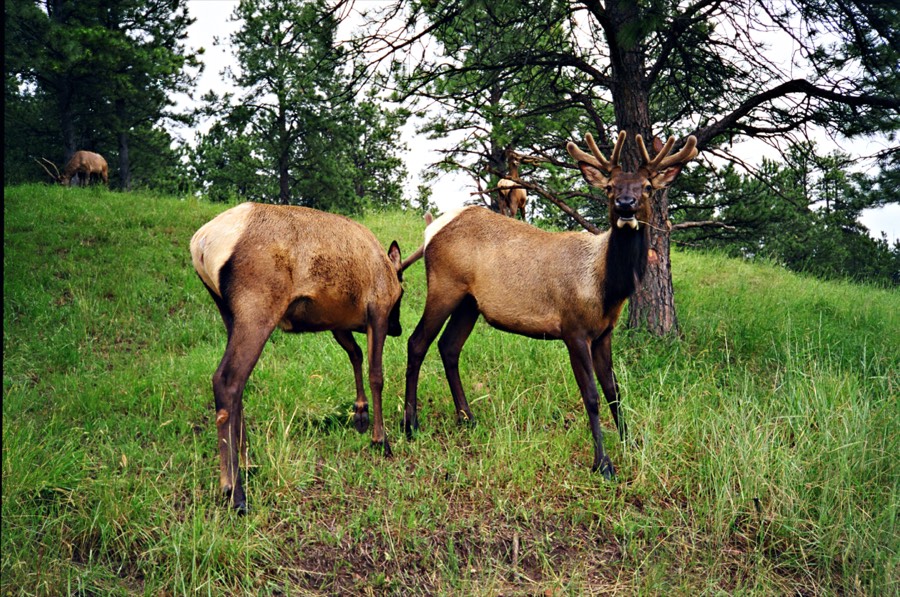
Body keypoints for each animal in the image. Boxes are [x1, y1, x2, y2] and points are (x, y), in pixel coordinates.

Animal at [191, 202, 417, 511]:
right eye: (401, 293)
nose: (398, 328)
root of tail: (201, 243)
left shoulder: (336, 321)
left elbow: (355, 355)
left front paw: (360, 413)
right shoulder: (377, 309)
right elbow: (376, 375)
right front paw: (380, 440)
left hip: (228, 312)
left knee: (237, 386)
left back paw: (248, 465)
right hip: (257, 304)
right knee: (227, 380)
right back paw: (234, 491)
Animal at [402, 130, 698, 478]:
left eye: (648, 187)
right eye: (610, 187)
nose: (626, 205)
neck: (606, 288)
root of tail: (432, 229)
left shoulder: (604, 332)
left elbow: (614, 391)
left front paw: (630, 443)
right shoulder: (573, 329)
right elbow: (592, 396)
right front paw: (603, 463)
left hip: (469, 302)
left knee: (448, 347)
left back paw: (467, 418)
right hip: (443, 286)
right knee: (417, 342)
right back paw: (411, 424)